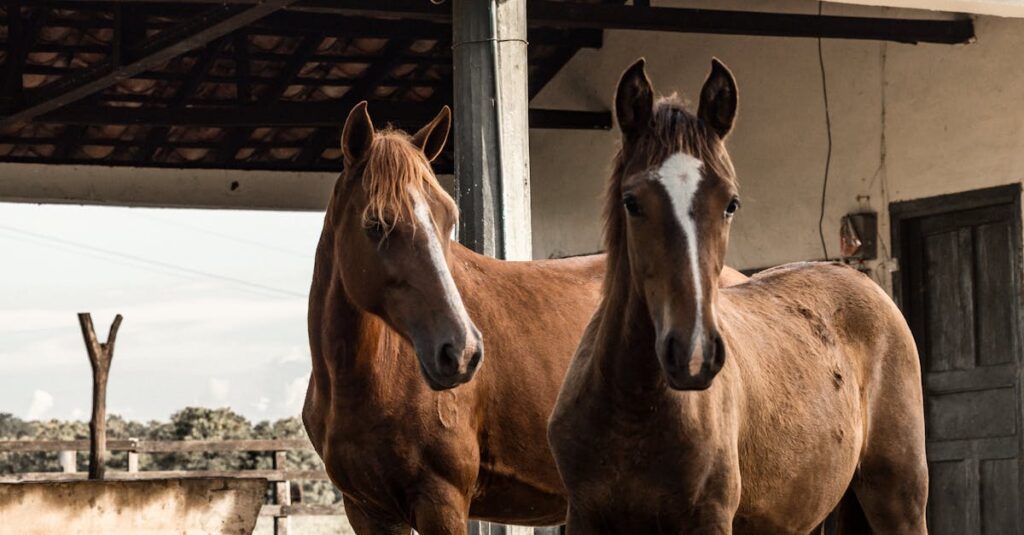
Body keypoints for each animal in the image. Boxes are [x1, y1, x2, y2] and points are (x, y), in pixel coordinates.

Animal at [303, 102, 750, 534]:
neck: (368, 375)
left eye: (449, 218)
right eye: (376, 223)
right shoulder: (369, 512)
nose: (461, 351)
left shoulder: (441, 502)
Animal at [547, 59, 928, 534]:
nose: (693, 355)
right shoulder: (583, 517)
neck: (632, 411)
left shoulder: (709, 518)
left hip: (898, 499)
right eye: (632, 201)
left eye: (730, 203)